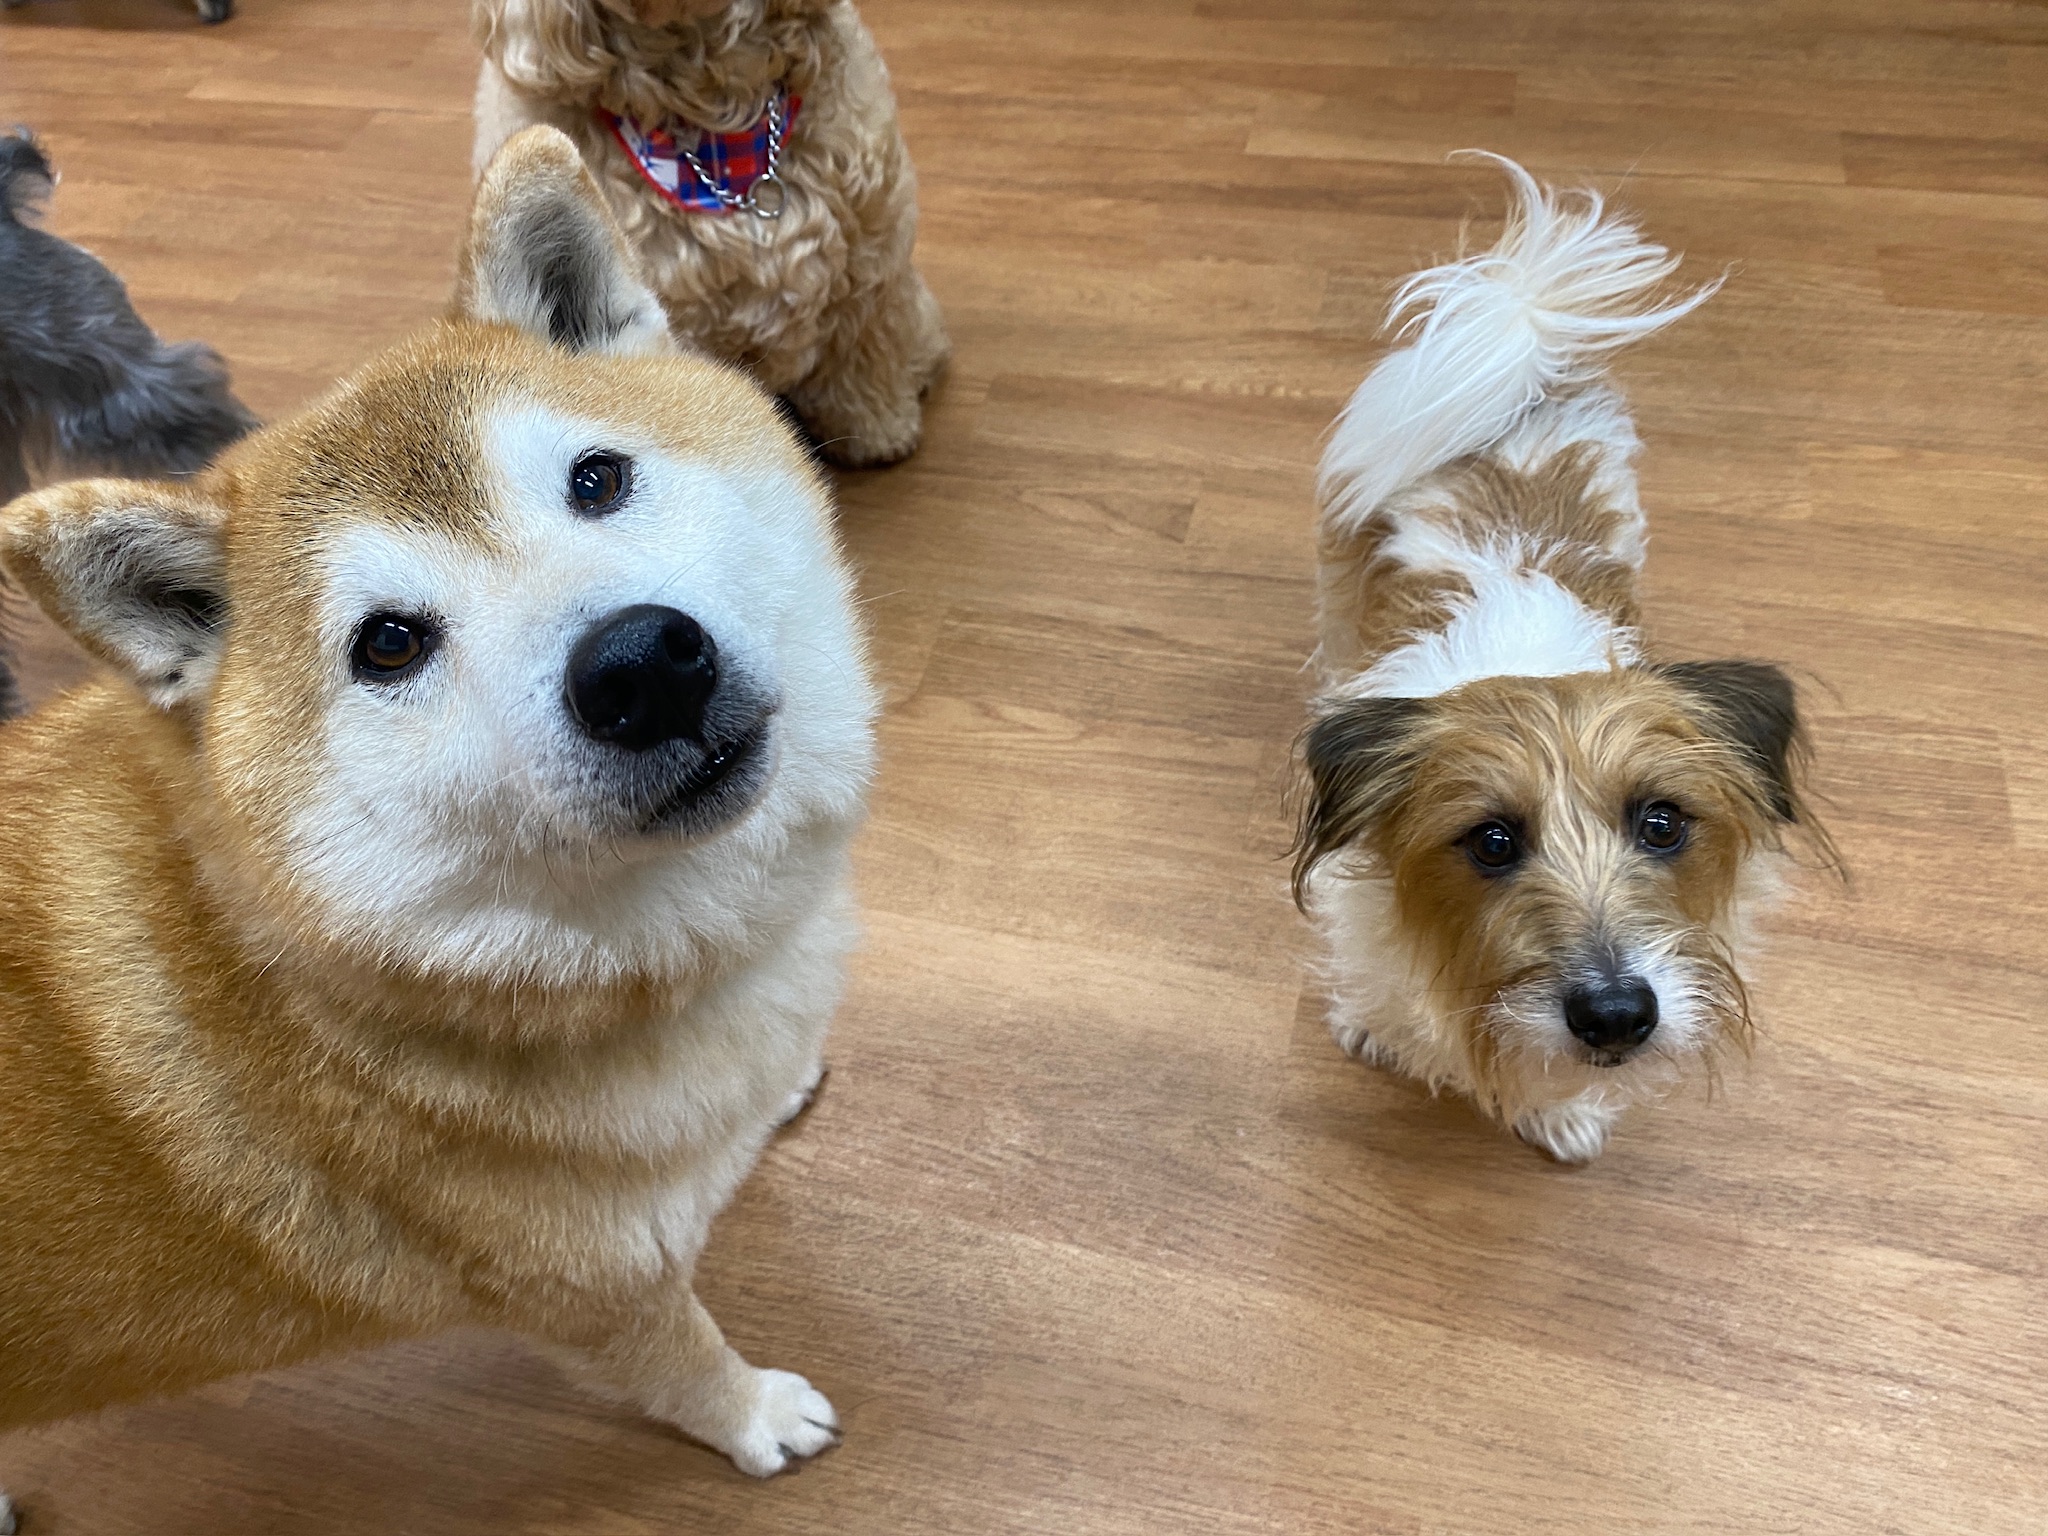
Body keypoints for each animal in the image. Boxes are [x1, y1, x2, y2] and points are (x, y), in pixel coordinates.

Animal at [0, 126, 876, 1497]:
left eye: (597, 479)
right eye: (390, 644)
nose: (640, 665)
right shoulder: (597, 1290)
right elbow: (685, 1365)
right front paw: (755, 1419)